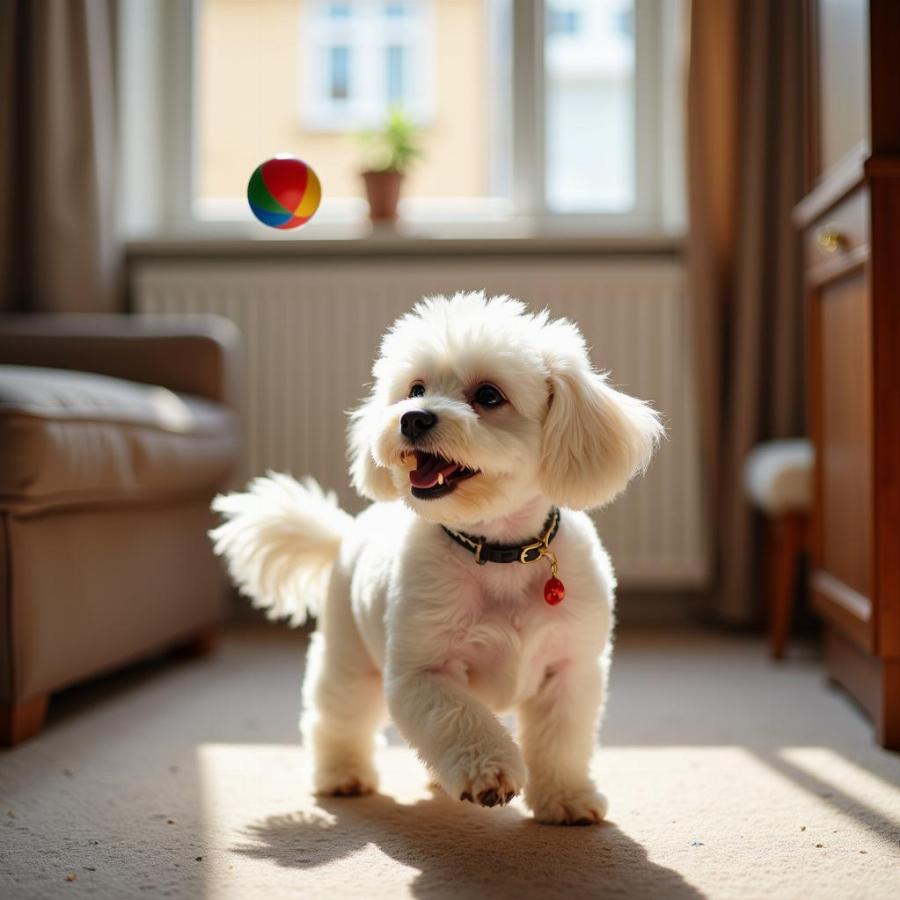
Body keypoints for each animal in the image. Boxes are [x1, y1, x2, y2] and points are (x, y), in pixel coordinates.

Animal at [211, 294, 660, 824]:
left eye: (489, 395)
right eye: (415, 389)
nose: (413, 418)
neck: (498, 554)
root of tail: (347, 531)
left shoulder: (569, 671)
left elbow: (561, 744)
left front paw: (566, 798)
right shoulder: (422, 671)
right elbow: (459, 719)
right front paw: (489, 772)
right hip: (349, 658)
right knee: (337, 717)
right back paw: (342, 775)